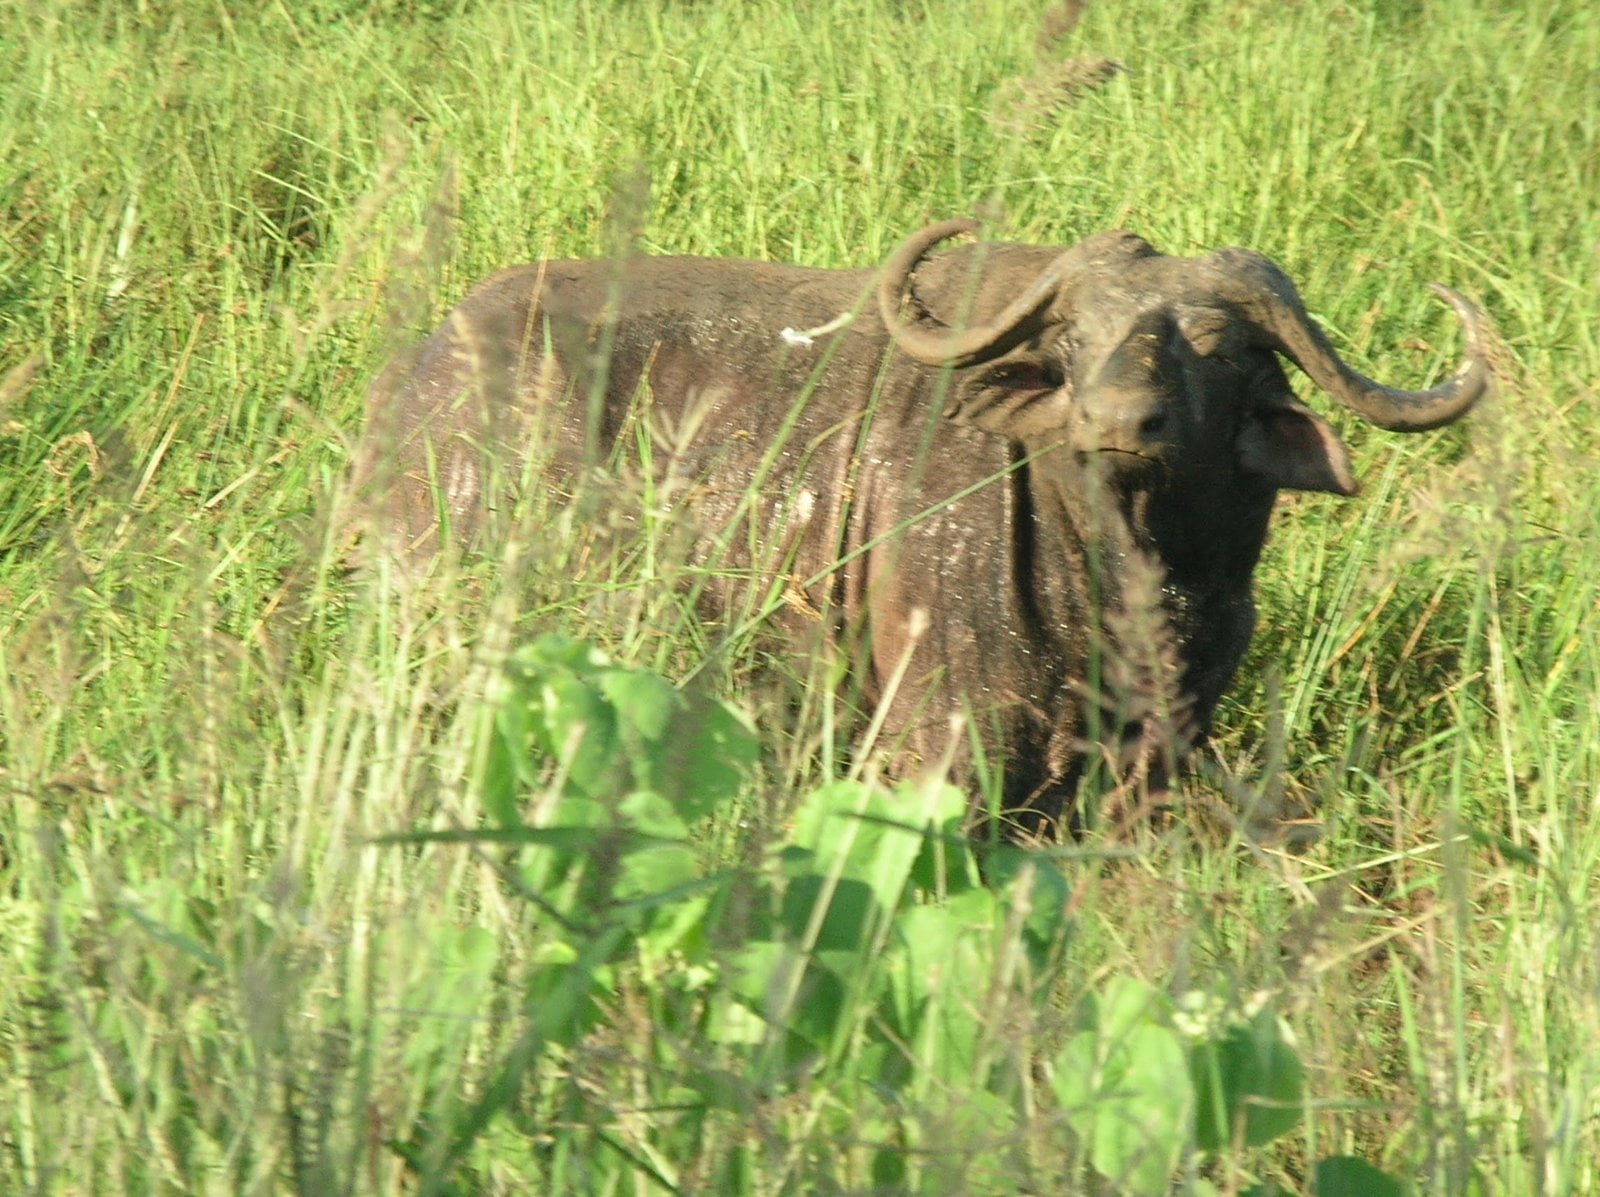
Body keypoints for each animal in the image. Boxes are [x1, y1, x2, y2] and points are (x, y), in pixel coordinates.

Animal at [363, 218, 1490, 835]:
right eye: (1074, 338)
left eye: (1212, 347)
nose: (1118, 421)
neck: (1124, 580)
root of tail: (418, 375)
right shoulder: (945, 744)